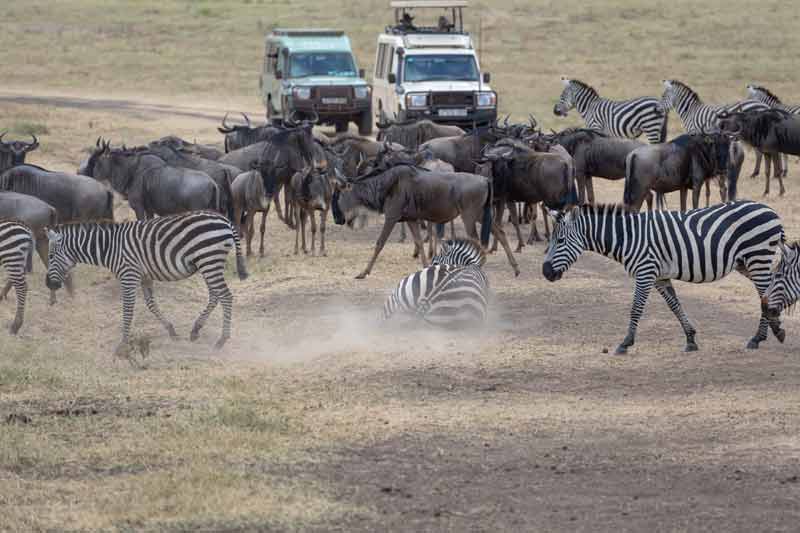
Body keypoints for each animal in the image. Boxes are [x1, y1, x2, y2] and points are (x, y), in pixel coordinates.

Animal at [47, 211, 247, 358]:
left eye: (50, 256)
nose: (49, 284)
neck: (109, 247)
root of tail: (225, 220)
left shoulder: (128, 275)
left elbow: (128, 310)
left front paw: (122, 344)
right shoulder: (144, 276)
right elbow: (151, 304)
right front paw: (171, 331)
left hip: (209, 260)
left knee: (226, 296)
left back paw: (221, 340)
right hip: (208, 263)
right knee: (215, 295)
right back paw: (196, 329)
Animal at [540, 200, 784, 354]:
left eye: (560, 241)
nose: (545, 272)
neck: (627, 237)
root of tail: (769, 209)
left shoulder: (645, 272)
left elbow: (636, 308)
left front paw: (626, 343)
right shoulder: (659, 277)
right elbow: (675, 305)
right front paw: (690, 339)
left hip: (758, 257)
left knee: (765, 294)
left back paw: (759, 337)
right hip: (747, 263)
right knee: (767, 292)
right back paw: (774, 330)